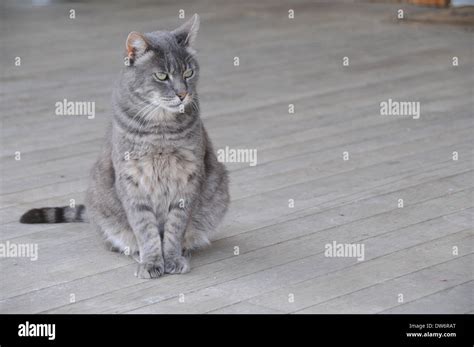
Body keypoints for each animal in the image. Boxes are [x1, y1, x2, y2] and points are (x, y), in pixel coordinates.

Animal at [19, 14, 231, 280]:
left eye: (189, 72)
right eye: (162, 76)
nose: (183, 94)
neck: (160, 129)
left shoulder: (188, 178)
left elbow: (175, 227)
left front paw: (172, 258)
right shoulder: (131, 181)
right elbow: (145, 230)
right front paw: (151, 261)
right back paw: (135, 252)